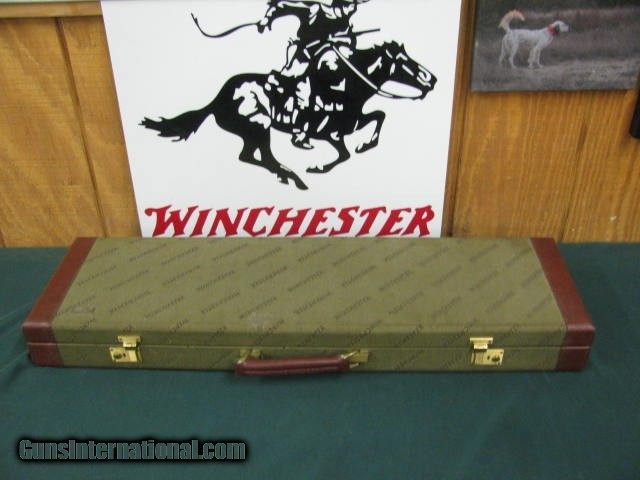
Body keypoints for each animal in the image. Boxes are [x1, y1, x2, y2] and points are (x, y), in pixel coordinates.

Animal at [141, 41, 436, 190]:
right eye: (404, 62)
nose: (431, 79)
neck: (344, 86)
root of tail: (218, 99)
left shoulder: (350, 123)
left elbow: (378, 116)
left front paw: (365, 144)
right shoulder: (330, 133)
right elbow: (344, 154)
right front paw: (317, 167)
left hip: (255, 131)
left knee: (251, 156)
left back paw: (288, 176)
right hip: (259, 126)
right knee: (259, 157)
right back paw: (293, 177)